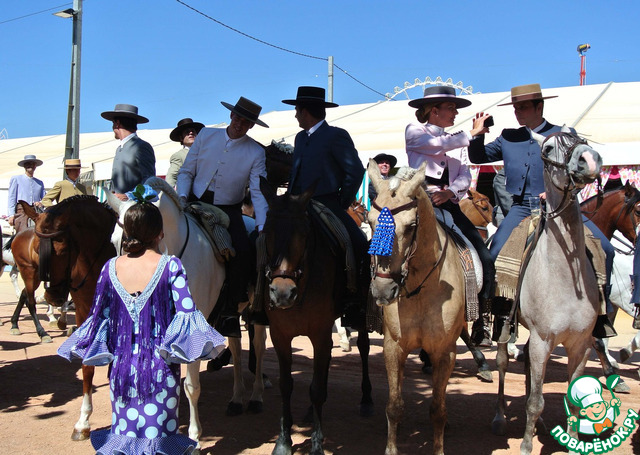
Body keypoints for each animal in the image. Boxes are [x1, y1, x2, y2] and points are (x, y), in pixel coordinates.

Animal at [13, 196, 117, 440]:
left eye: (62, 246)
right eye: (36, 247)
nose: (52, 296)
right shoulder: (84, 312)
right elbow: (88, 365)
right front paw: (83, 422)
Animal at [259, 177, 373, 455]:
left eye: (303, 234)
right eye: (267, 231)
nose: (282, 293)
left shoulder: (320, 333)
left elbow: (317, 388)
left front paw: (317, 444)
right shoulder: (280, 335)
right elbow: (286, 384)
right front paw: (283, 440)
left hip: (360, 314)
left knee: (364, 347)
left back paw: (366, 398)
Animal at [368, 161, 465, 455]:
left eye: (411, 226)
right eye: (370, 221)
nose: (382, 290)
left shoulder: (445, 353)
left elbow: (437, 410)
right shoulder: (394, 347)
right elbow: (395, 406)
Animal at [492, 128, 603, 454]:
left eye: (582, 140)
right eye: (550, 147)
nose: (590, 159)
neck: (565, 277)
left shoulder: (581, 344)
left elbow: (573, 399)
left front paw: (574, 442)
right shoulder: (543, 340)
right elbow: (535, 401)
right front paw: (527, 445)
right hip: (505, 323)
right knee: (503, 362)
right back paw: (500, 417)